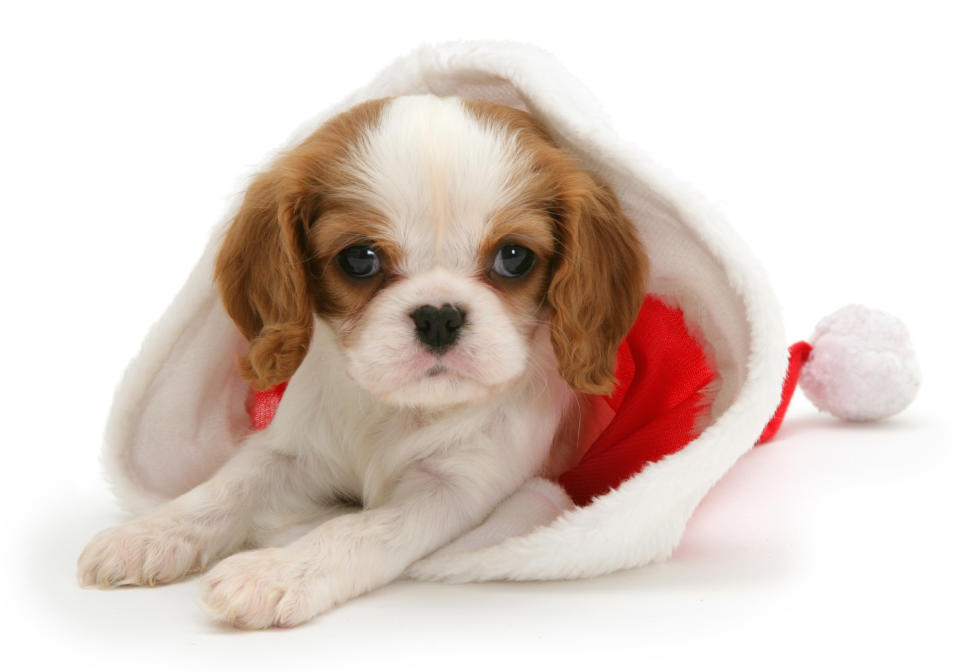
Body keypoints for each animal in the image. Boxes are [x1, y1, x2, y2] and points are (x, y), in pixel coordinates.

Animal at [79, 96, 648, 632]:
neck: (396, 408)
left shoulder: (453, 490)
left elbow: (357, 528)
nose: (438, 316)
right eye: (359, 258)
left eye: (514, 257)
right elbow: (227, 487)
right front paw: (148, 533)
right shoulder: (292, 449)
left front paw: (275, 573)